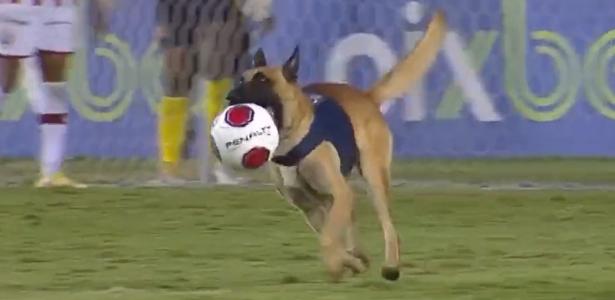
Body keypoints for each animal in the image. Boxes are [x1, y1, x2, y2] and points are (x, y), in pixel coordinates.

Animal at [226, 9, 448, 282]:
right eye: (241, 79)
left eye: (262, 79)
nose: (230, 97)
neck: (292, 139)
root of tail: (365, 96)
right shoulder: (311, 207)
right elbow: (333, 242)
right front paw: (353, 263)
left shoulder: (339, 194)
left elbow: (329, 242)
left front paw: (344, 264)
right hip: (335, 199)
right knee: (351, 232)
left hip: (373, 179)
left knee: (388, 227)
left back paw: (390, 266)